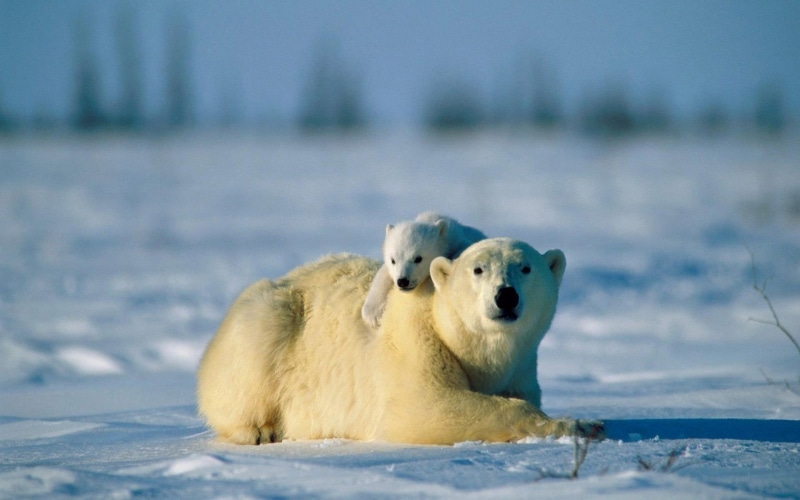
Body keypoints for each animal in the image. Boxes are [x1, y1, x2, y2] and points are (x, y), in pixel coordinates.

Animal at [196, 237, 604, 445]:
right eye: (478, 269)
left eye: (526, 267)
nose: (506, 296)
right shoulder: (415, 341)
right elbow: (427, 405)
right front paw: (581, 425)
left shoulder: (521, 366)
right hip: (269, 319)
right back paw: (259, 430)